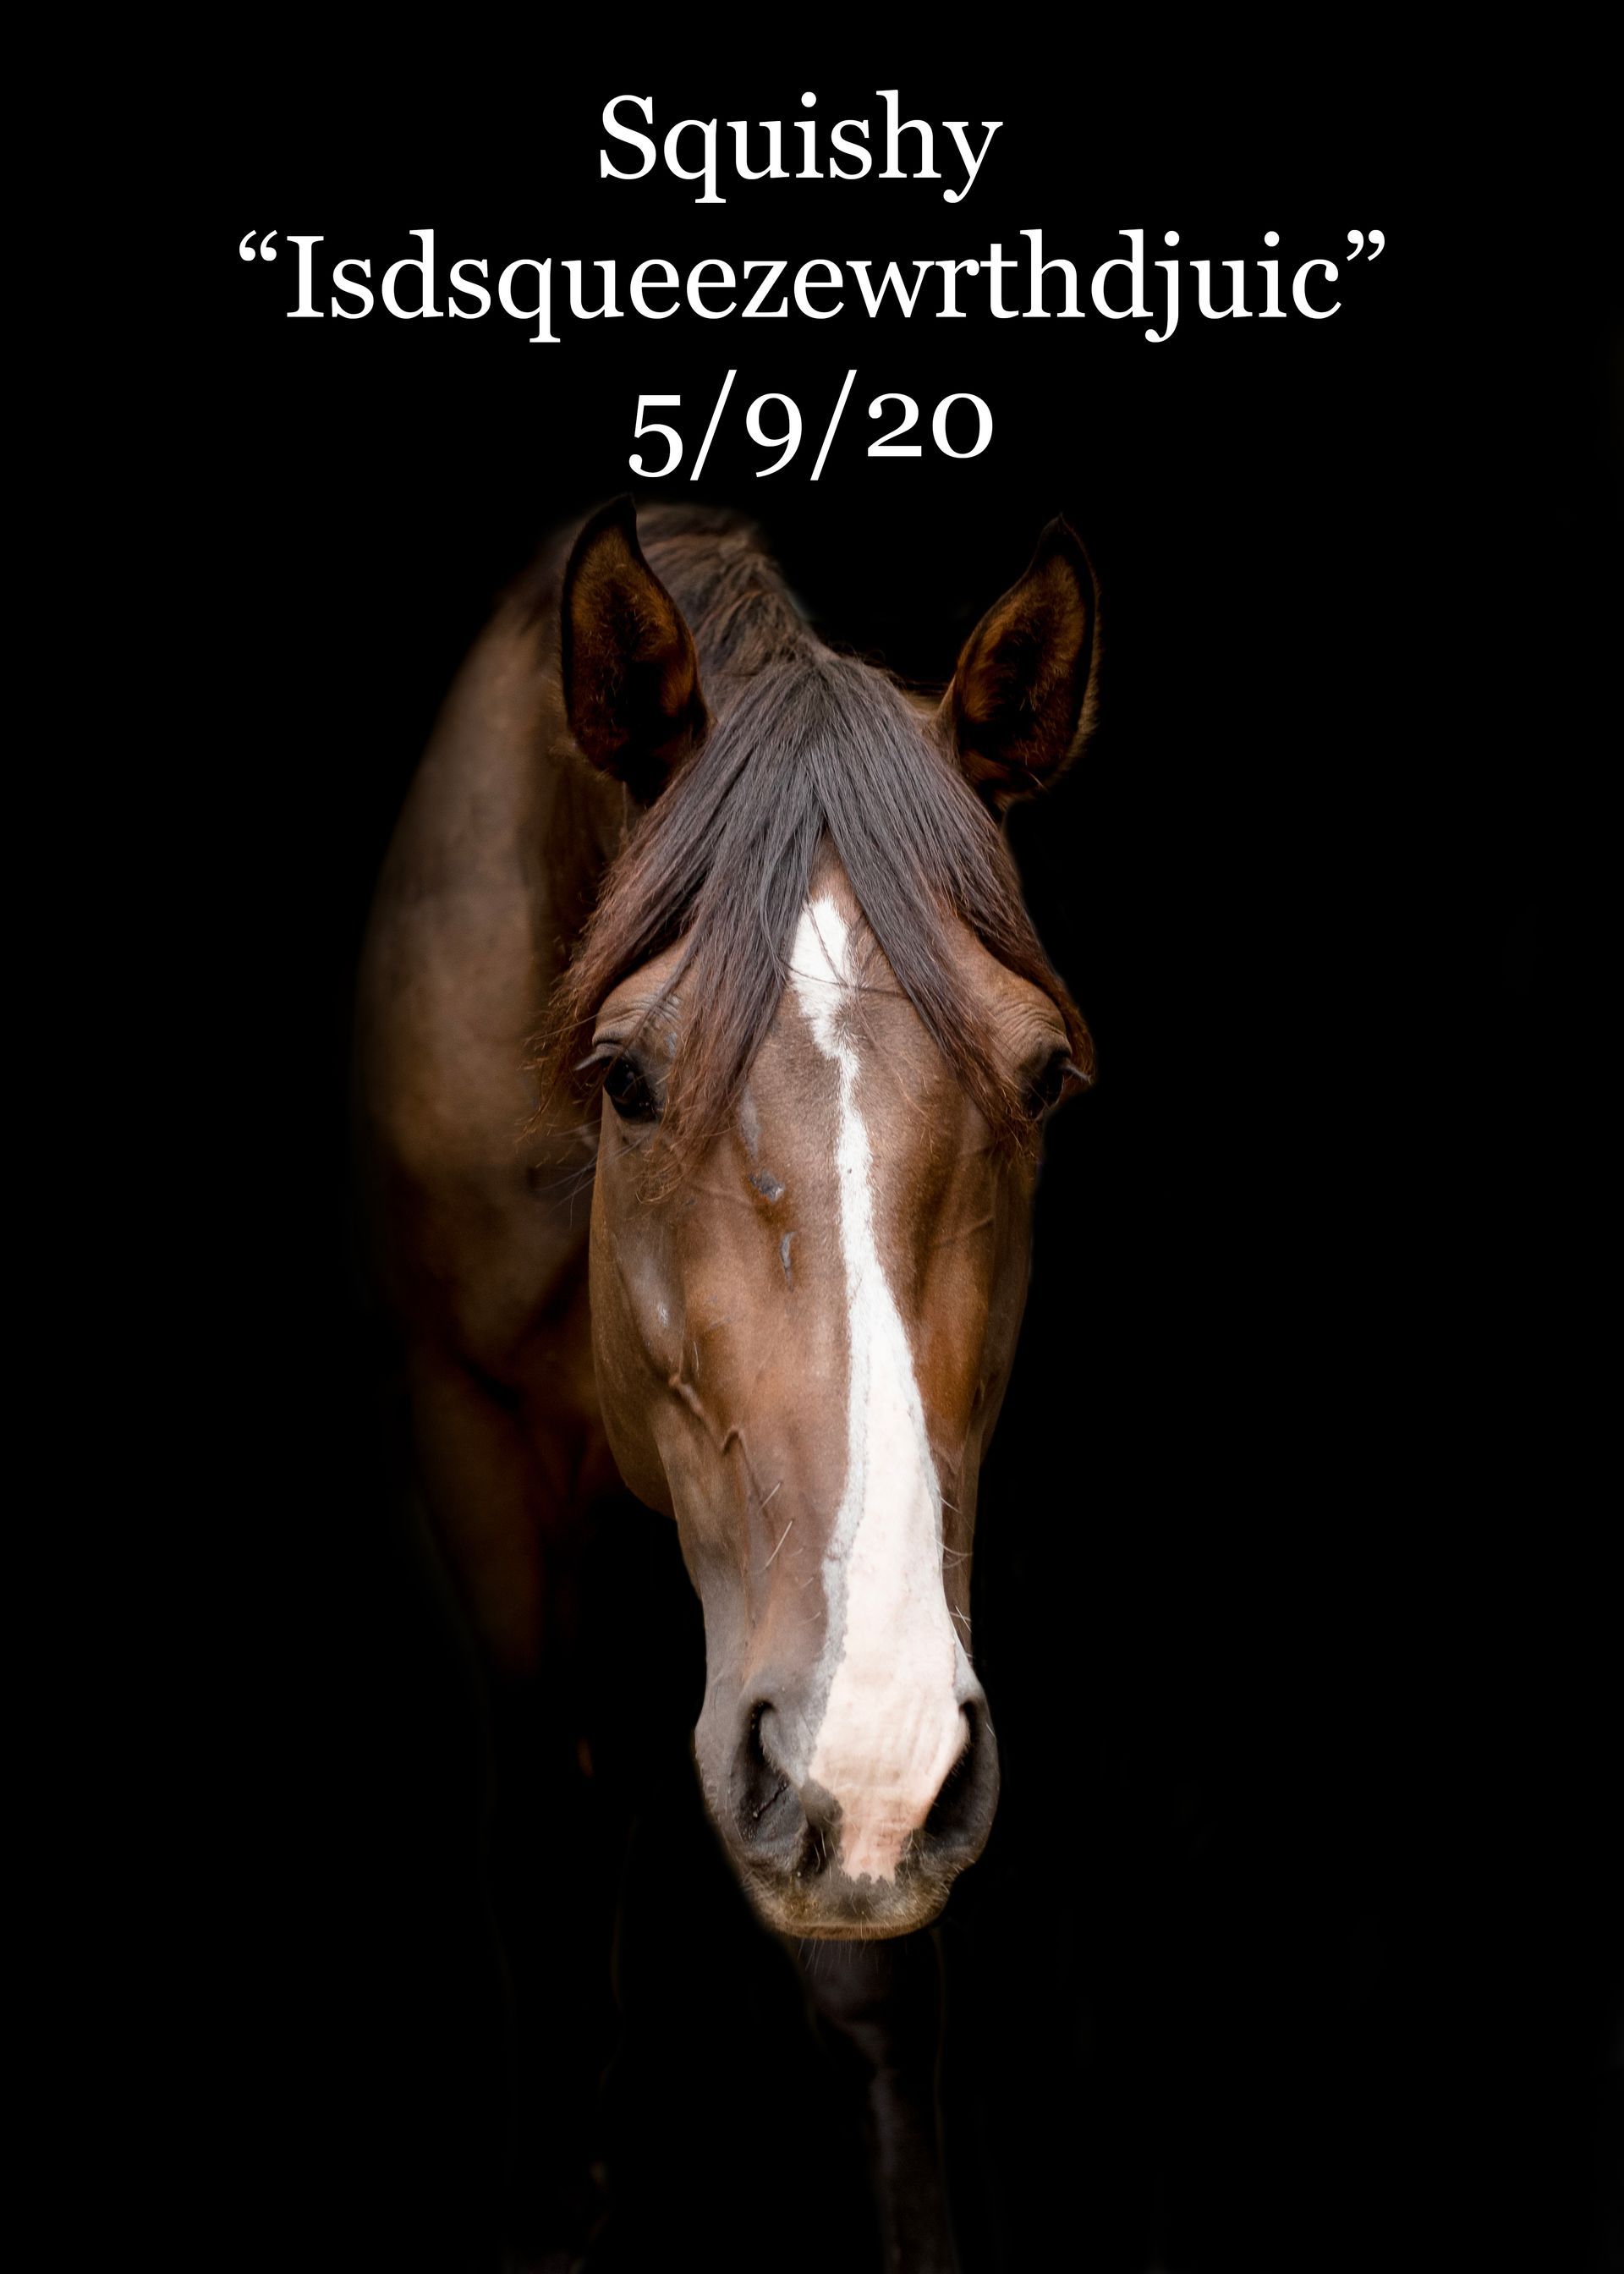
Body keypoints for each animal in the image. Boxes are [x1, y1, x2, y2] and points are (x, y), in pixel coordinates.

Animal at [353, 497, 1098, 2269]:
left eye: (1042, 1075)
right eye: (626, 1075)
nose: (873, 1748)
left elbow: (876, 1985)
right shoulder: (478, 1449)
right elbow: (548, 1876)